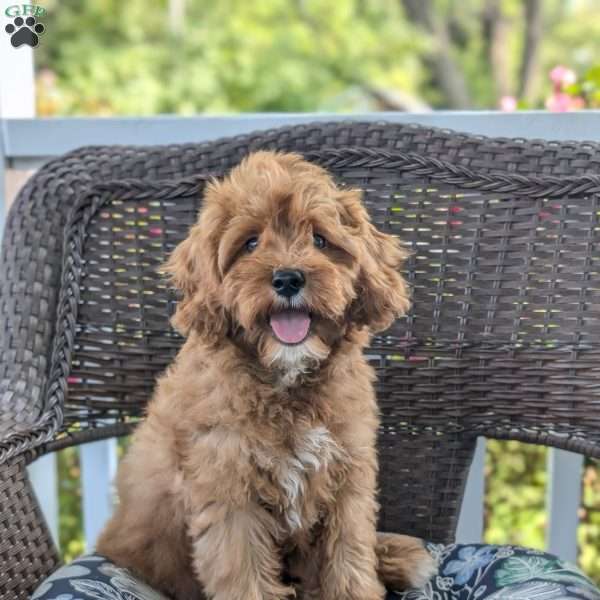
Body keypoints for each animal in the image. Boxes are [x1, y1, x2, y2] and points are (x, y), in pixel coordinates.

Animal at [98, 151, 436, 600]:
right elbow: (244, 575)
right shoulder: (229, 491)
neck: (286, 380)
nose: (288, 278)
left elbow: (350, 558)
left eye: (320, 240)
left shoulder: (348, 478)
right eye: (250, 243)